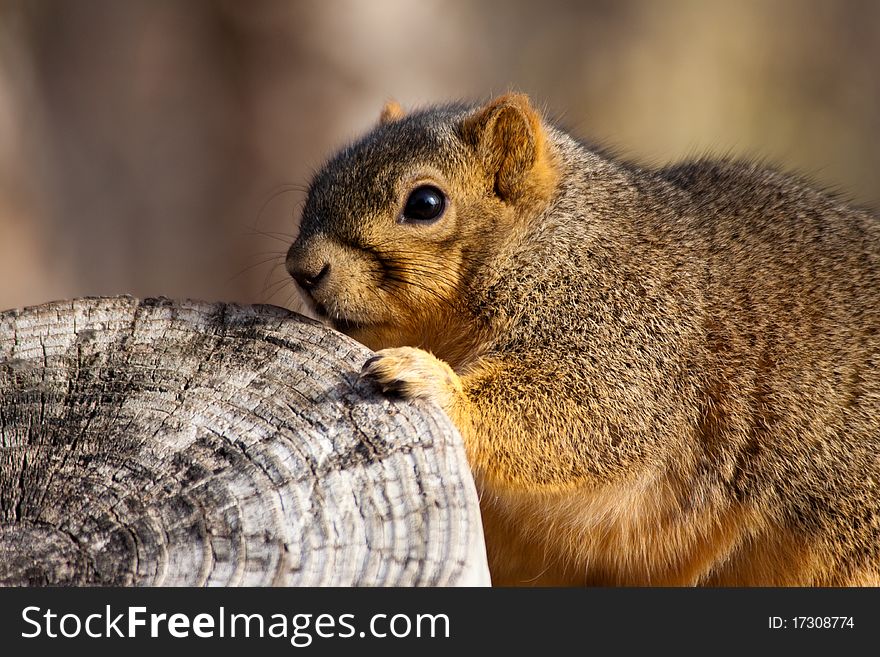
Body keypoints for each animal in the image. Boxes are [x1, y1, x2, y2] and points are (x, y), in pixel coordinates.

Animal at [286, 92, 876, 584]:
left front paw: (432, 381)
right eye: (315, 186)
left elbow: (591, 412)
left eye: (426, 204)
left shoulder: (633, 334)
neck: (552, 240)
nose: (302, 269)